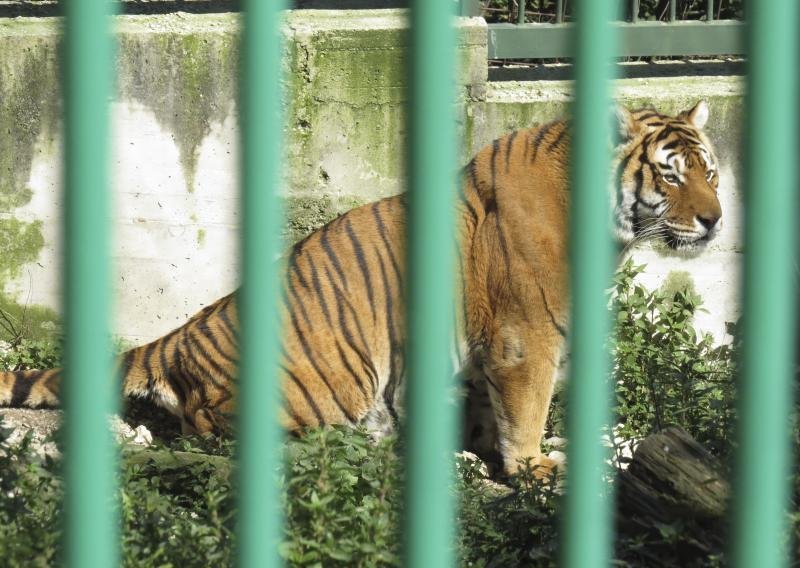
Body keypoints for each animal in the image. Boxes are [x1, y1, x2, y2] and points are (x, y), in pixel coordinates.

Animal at [0, 101, 720, 474]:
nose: (715, 219)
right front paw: (532, 469)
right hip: (328, 381)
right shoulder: (525, 337)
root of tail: (179, 336)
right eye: (671, 173)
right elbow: (525, 410)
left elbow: (491, 410)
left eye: (710, 170)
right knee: (218, 431)